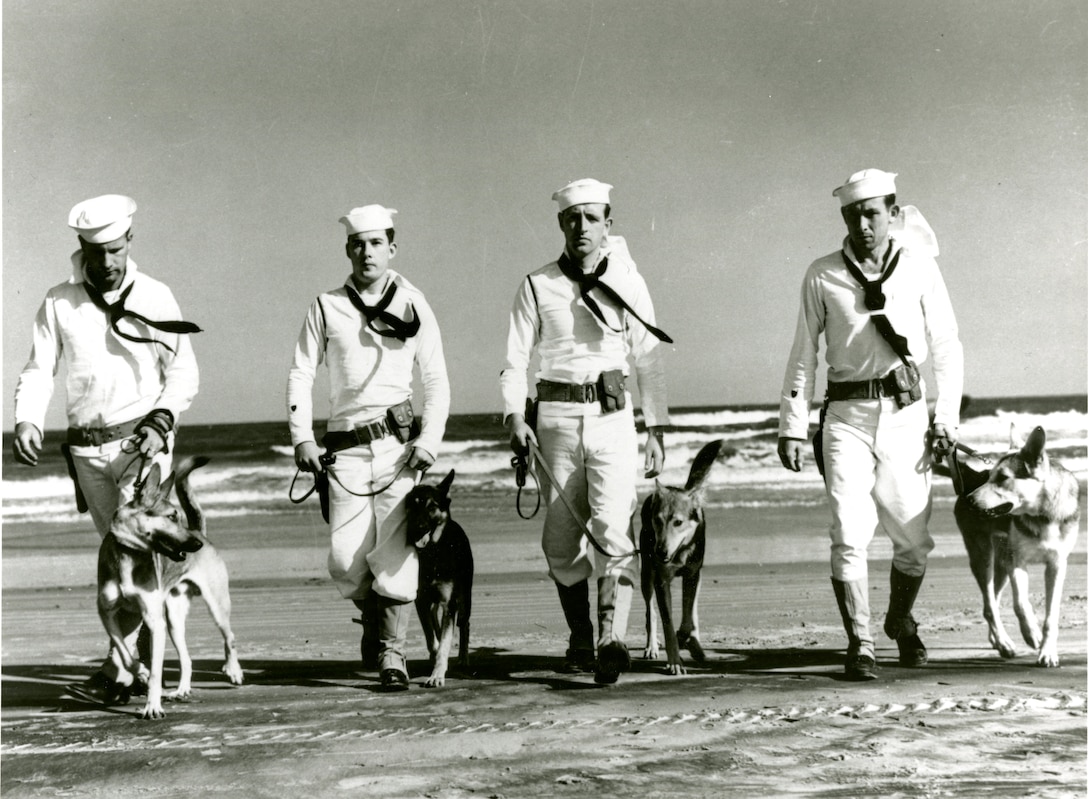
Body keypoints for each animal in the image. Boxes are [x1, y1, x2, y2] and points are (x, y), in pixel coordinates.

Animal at [94, 457, 243, 718]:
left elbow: (156, 671)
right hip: (174, 619)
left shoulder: (154, 621)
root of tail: (199, 531)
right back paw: (182, 689)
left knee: (229, 636)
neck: (129, 552)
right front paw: (140, 672)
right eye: (172, 517)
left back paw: (233, 670)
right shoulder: (108, 613)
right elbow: (124, 653)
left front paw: (152, 705)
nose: (196, 544)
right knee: (187, 658)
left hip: (216, 605)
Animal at [404, 470, 472, 687]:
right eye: (412, 504)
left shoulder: (450, 604)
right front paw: (433, 659)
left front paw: (437, 674)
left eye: (432, 506)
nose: (418, 527)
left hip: (464, 597)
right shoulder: (421, 601)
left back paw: (463, 657)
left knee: (464, 624)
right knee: (435, 622)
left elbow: (444, 643)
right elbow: (432, 639)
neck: (433, 551)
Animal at [639, 441, 726, 679]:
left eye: (678, 522)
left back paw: (695, 645)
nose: (660, 551)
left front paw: (685, 639)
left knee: (692, 612)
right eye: (657, 521)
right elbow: (667, 623)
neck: (679, 552)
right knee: (650, 612)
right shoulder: (661, 581)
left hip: (697, 577)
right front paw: (675, 660)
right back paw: (652, 646)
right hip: (646, 576)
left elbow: (687, 619)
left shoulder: (692, 575)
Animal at [953, 426, 1079, 670]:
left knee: (992, 599)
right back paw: (1004, 642)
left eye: (1003, 478)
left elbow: (1051, 616)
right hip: (984, 557)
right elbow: (1021, 604)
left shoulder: (1057, 565)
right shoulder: (1017, 561)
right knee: (990, 606)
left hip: (1001, 563)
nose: (970, 500)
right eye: (990, 476)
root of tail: (970, 476)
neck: (1041, 516)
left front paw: (1047, 652)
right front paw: (1032, 634)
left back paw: (996, 640)